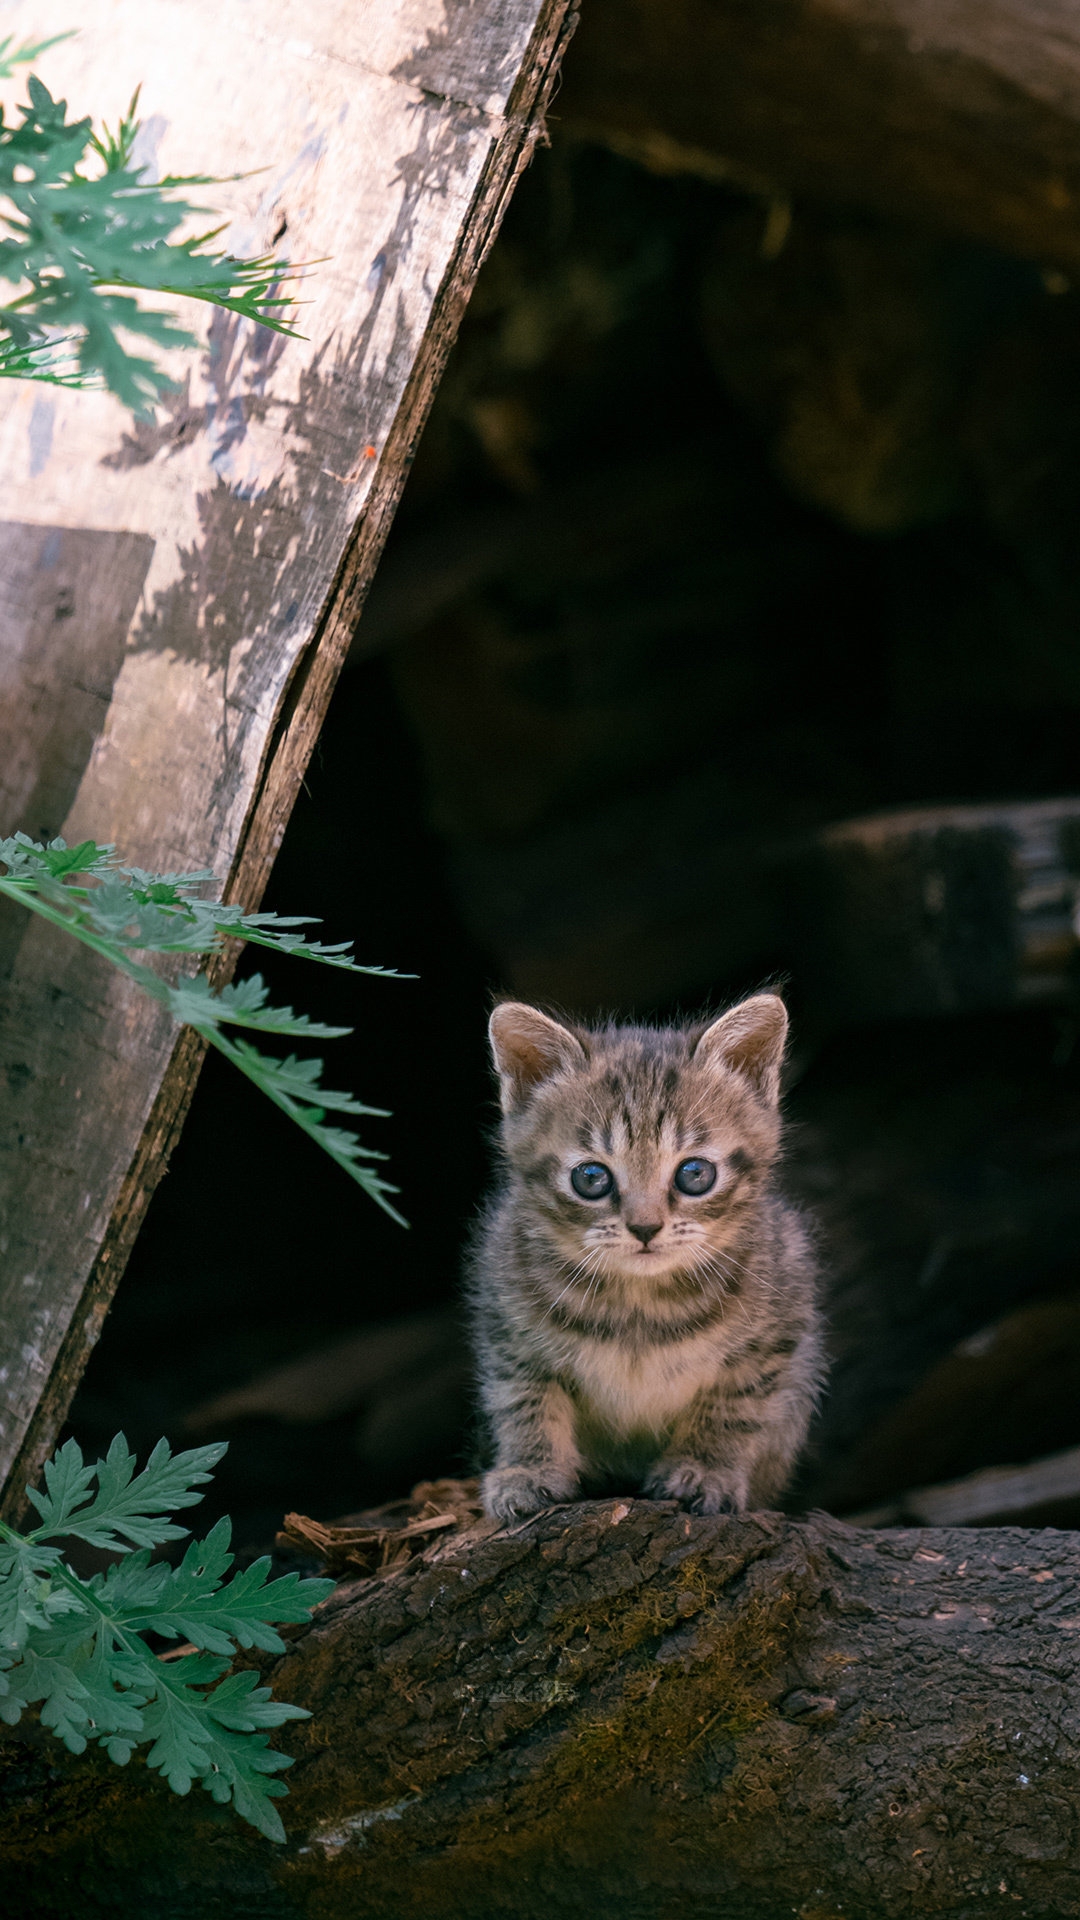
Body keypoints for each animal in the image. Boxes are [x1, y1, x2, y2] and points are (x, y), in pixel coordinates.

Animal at [465, 998, 822, 1520]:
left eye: (695, 1173)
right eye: (591, 1178)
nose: (645, 1227)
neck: (640, 1305)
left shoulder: (777, 1321)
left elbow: (733, 1406)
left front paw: (703, 1468)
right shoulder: (508, 1326)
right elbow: (523, 1400)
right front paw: (529, 1468)